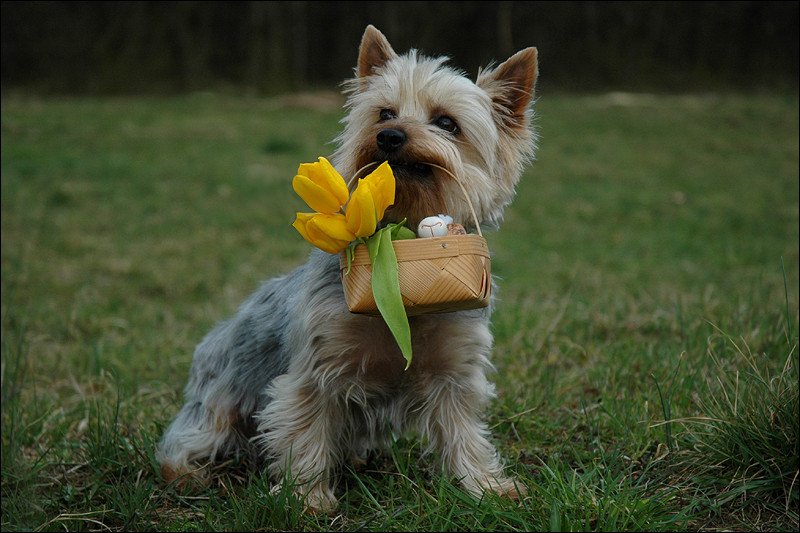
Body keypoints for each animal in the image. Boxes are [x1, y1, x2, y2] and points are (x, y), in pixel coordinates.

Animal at [158, 25, 536, 512]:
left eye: (447, 123)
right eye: (384, 112)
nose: (389, 135)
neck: (400, 245)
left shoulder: (454, 369)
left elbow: (463, 432)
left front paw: (486, 487)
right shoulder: (316, 369)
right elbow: (306, 431)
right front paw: (306, 499)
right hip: (220, 399)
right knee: (187, 440)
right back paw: (188, 476)